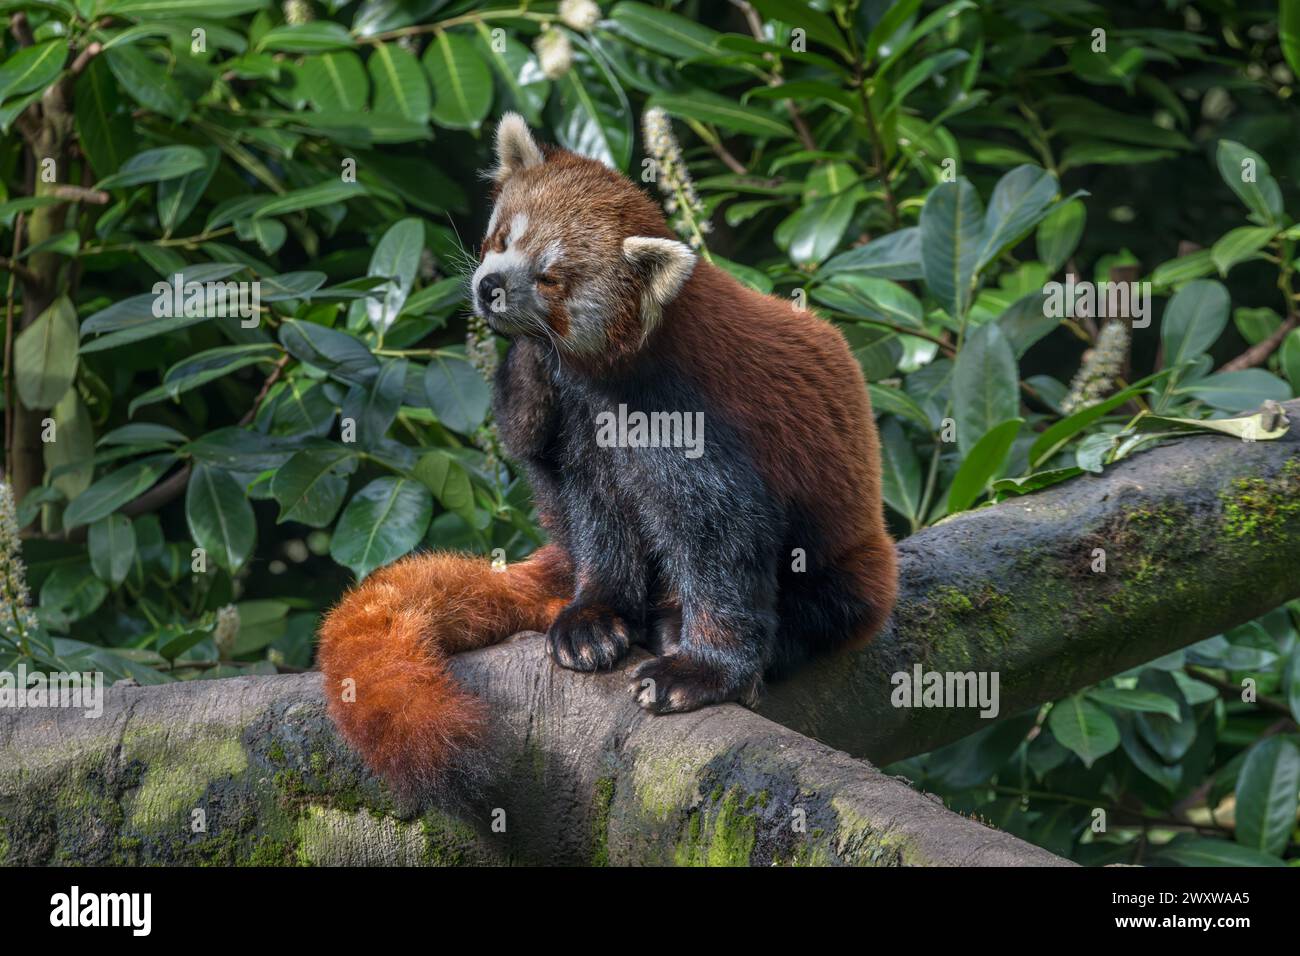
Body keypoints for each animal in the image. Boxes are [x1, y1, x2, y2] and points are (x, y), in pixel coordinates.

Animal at [319, 115, 899, 796]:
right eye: (501, 239)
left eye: (550, 276)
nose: (491, 286)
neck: (601, 373)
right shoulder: (574, 421)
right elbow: (596, 509)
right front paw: (595, 619)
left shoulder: (685, 411)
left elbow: (723, 534)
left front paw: (701, 672)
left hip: (856, 555)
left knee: (833, 597)